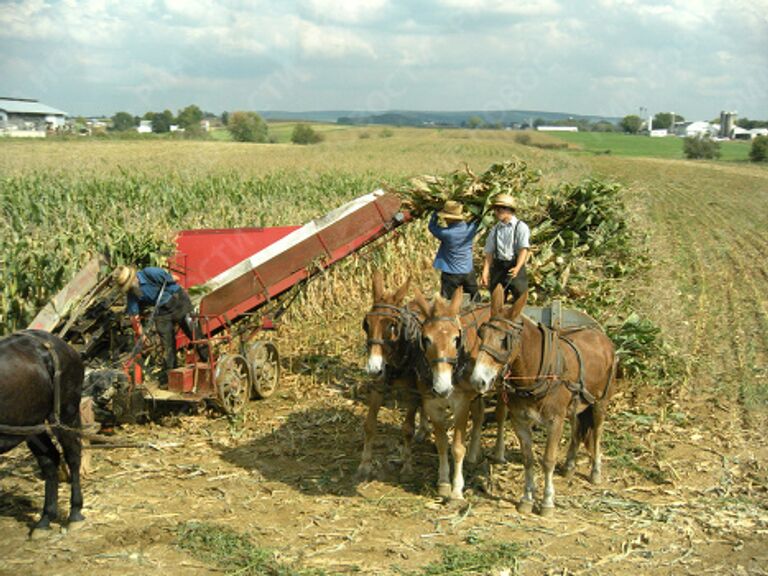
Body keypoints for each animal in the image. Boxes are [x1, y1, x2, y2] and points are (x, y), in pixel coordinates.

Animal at [0, 328, 85, 536]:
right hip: (32, 425)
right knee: (50, 460)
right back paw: (46, 518)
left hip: (65, 414)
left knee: (73, 455)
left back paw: (75, 513)